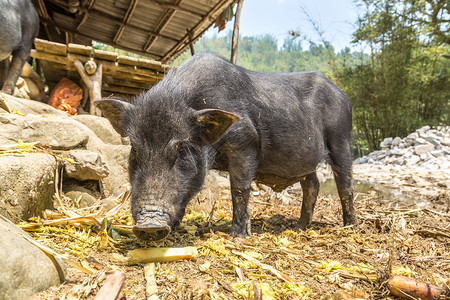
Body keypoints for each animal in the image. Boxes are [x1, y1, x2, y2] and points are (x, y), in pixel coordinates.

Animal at [95, 53, 356, 241]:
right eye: (135, 149)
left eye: (181, 148)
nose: (149, 224)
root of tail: (344, 95)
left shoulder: (246, 140)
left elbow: (239, 189)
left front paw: (238, 237)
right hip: (305, 162)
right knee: (312, 184)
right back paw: (300, 226)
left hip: (342, 137)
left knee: (345, 184)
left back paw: (349, 226)